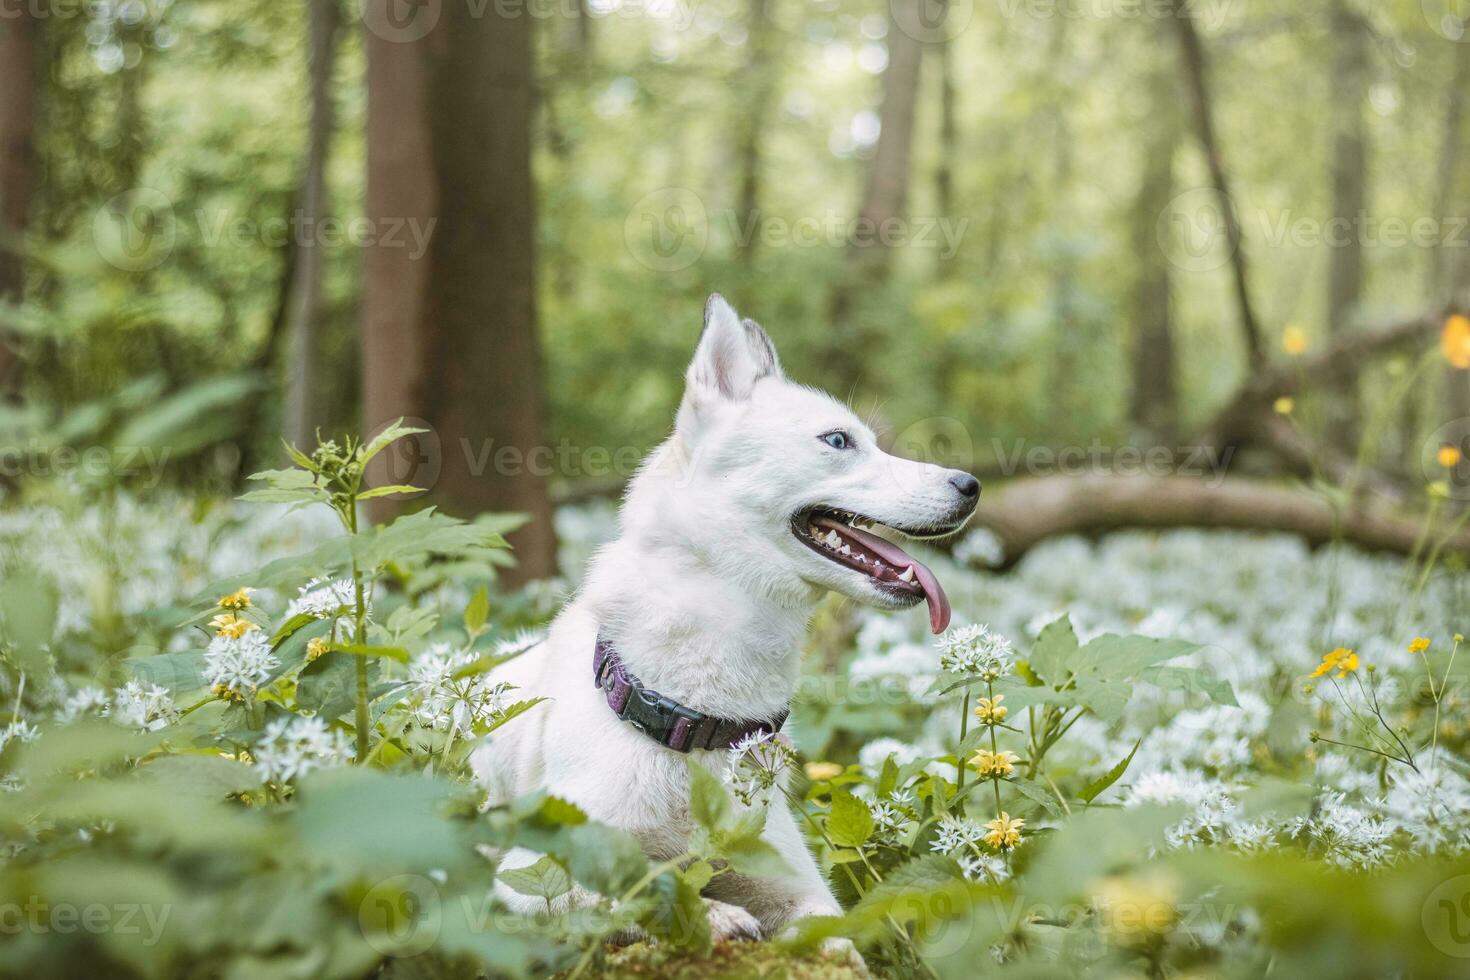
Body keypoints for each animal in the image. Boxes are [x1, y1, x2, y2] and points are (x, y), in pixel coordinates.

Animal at [476, 295, 981, 952]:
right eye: (838, 440)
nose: (972, 485)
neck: (694, 724)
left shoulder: (802, 890)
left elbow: (834, 937)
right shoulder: (527, 879)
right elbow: (641, 892)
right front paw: (714, 915)